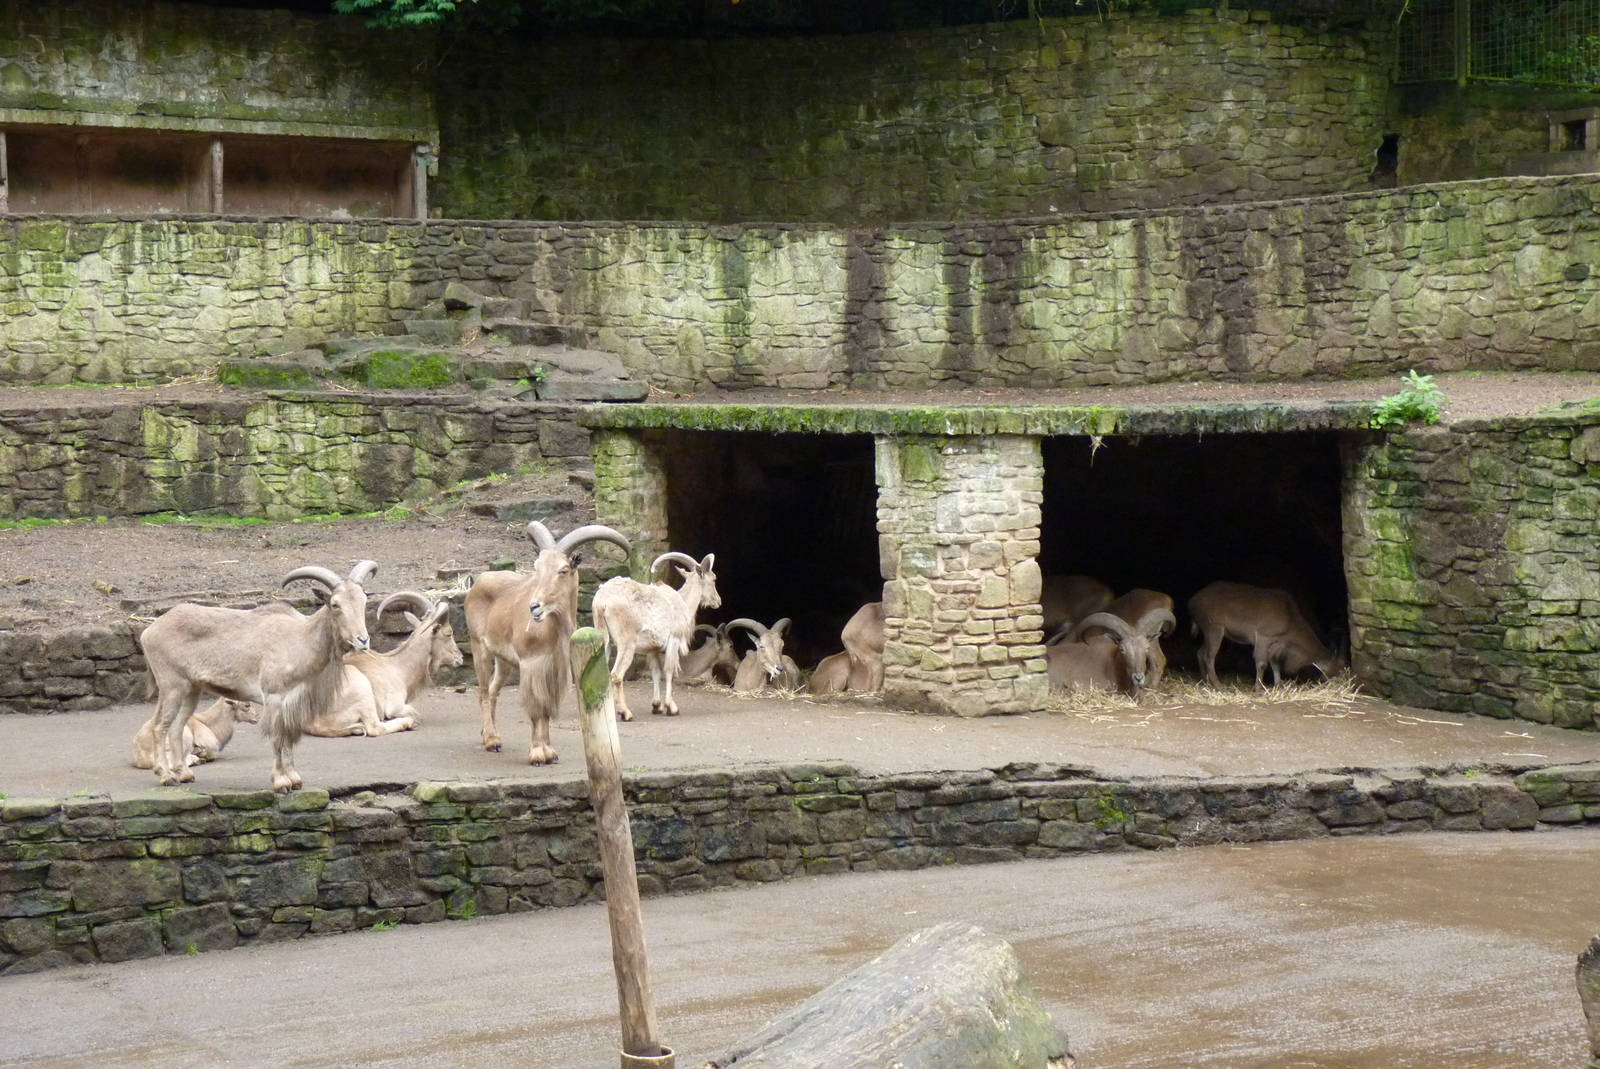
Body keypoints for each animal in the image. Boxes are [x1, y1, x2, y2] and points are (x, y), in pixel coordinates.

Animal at [138, 560, 378, 792]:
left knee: (177, 726)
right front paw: (281, 782)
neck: (302, 639)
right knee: (160, 726)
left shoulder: (292, 705)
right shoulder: (273, 697)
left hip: (191, 689)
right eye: (336, 604)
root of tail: (149, 631)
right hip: (171, 686)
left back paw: (184, 774)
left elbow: (288, 739)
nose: (362, 640)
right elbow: (277, 739)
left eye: (364, 601)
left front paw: (295, 780)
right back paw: (167, 776)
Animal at [465, 521, 632, 765]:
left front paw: (550, 753)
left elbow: (546, 711)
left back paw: (488, 734)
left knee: (494, 689)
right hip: (479, 647)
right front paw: (537, 754)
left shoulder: (553, 669)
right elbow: (536, 710)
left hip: (504, 660)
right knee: (484, 692)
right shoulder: (531, 665)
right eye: (537, 568)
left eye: (563, 570)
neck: (552, 631)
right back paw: (491, 740)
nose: (534, 606)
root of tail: (478, 582)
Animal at [591, 551, 721, 720]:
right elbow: (668, 670)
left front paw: (656, 706)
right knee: (616, 675)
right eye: (713, 579)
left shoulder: (652, 650)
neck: (683, 603)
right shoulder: (674, 640)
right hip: (626, 643)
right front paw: (672, 707)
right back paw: (625, 712)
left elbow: (656, 672)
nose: (718, 601)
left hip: (602, 639)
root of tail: (602, 602)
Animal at [1189, 580, 1346, 689]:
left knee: (1200, 652)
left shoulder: (1275, 644)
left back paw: (1205, 681)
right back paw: (1218, 684)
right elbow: (1261, 663)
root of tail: (1193, 601)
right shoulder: (1264, 637)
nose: (1340, 681)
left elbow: (1275, 664)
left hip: (1208, 631)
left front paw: (1278, 684)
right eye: (1338, 669)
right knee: (1209, 656)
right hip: (1214, 628)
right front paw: (1259, 687)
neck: (1290, 618)